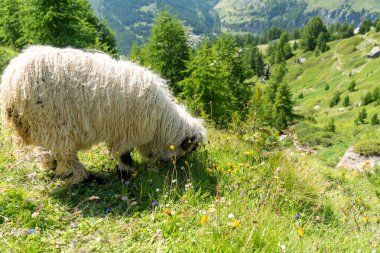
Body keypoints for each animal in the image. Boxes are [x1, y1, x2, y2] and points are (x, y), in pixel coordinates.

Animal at [0, 45, 208, 184]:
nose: (175, 167)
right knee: (66, 155)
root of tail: (11, 85)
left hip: (40, 127)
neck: (160, 123)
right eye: (190, 148)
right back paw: (82, 176)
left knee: (47, 152)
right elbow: (123, 154)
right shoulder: (127, 132)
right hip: (54, 126)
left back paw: (52, 166)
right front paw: (126, 172)